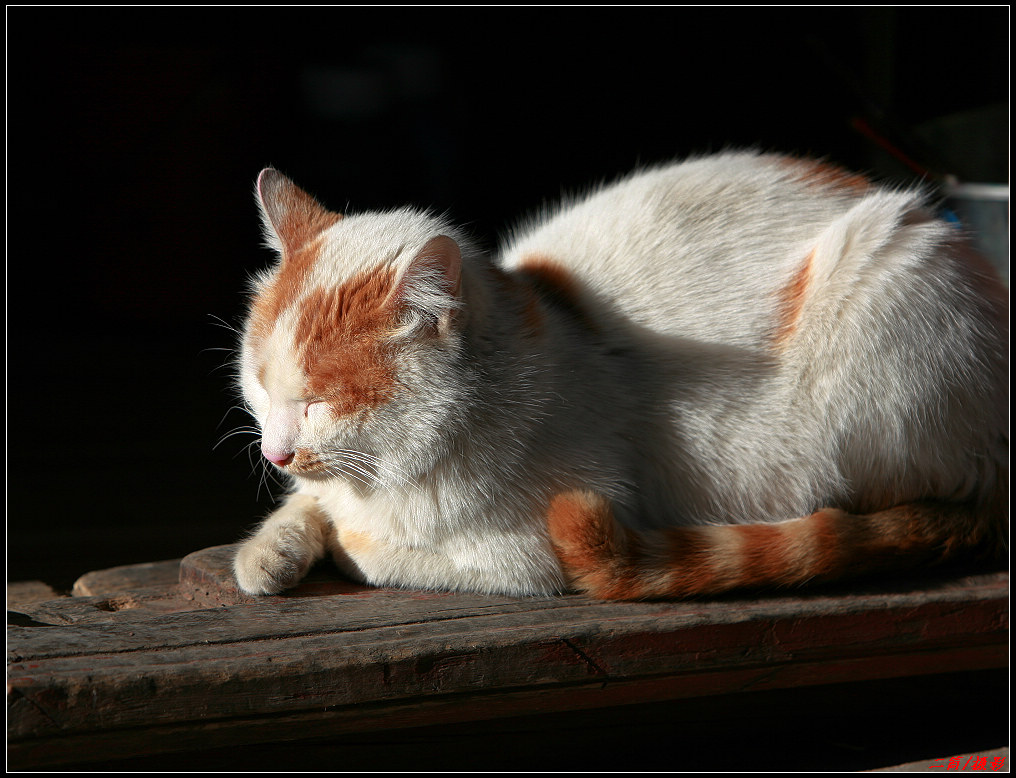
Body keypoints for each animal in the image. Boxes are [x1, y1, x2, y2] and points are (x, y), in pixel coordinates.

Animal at [232, 152, 1007, 601]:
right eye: (261, 385)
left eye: (319, 403)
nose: (274, 451)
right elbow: (309, 507)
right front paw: (270, 551)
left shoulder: (526, 557)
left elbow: (369, 549)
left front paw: (334, 538)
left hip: (892, 283)